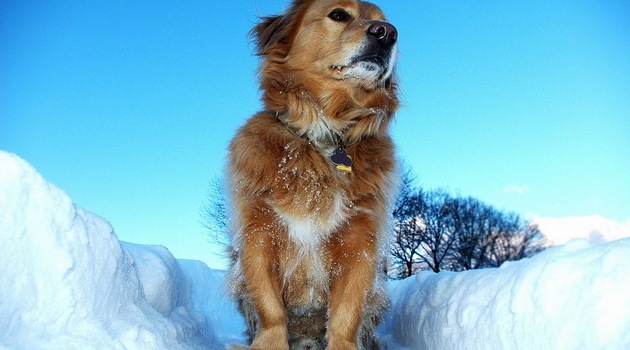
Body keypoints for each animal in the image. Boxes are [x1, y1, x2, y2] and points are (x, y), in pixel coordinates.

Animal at [228, 1, 400, 348]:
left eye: (384, 23)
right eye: (339, 14)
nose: (387, 33)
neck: (324, 134)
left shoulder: (361, 242)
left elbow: (347, 314)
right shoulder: (257, 233)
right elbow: (270, 309)